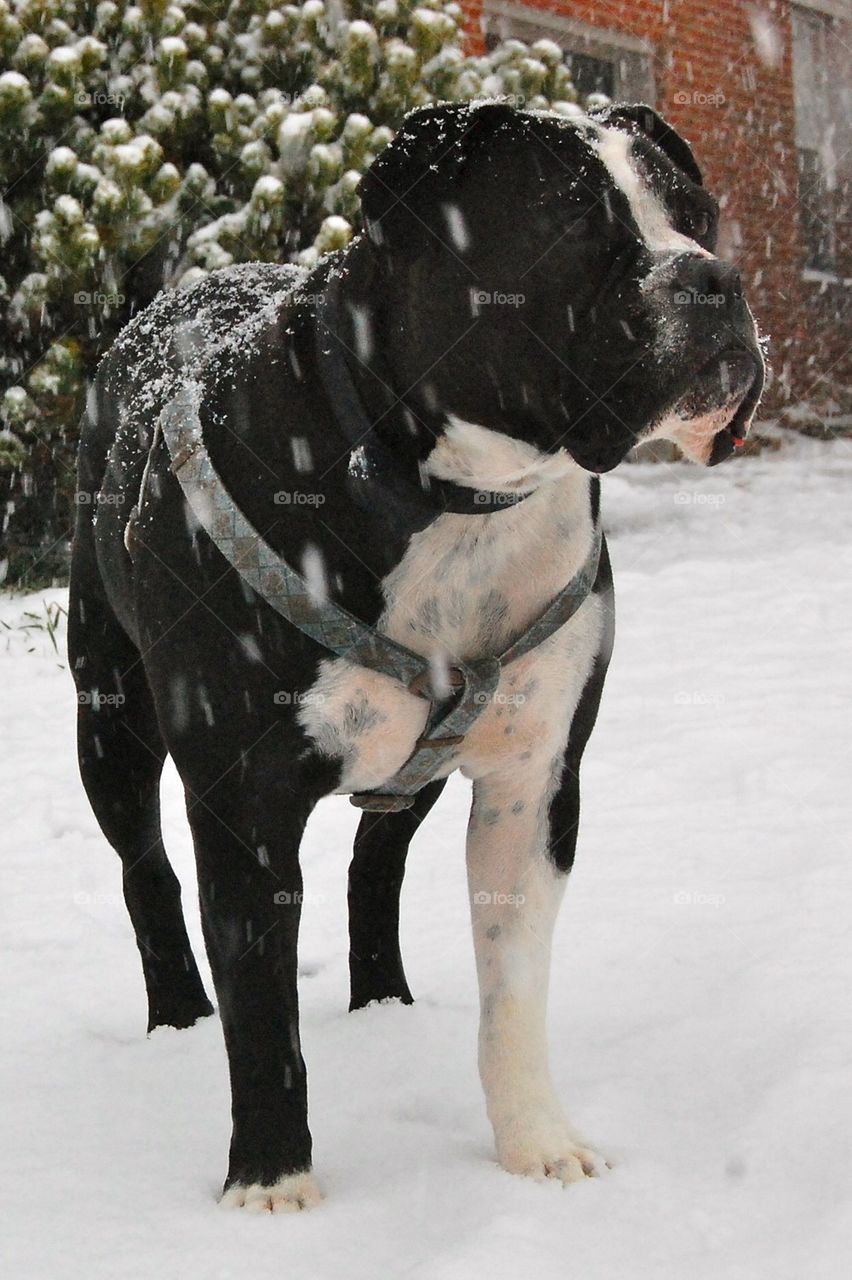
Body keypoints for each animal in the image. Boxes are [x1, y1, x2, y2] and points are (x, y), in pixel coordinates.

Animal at [69, 102, 762, 1208]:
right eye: (570, 226)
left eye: (697, 215)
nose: (714, 280)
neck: (455, 494)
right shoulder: (243, 800)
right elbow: (260, 1005)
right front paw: (271, 1181)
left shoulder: (537, 782)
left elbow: (513, 990)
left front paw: (536, 1143)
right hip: (112, 720)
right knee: (146, 871)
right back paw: (176, 1012)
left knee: (376, 861)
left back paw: (382, 999)